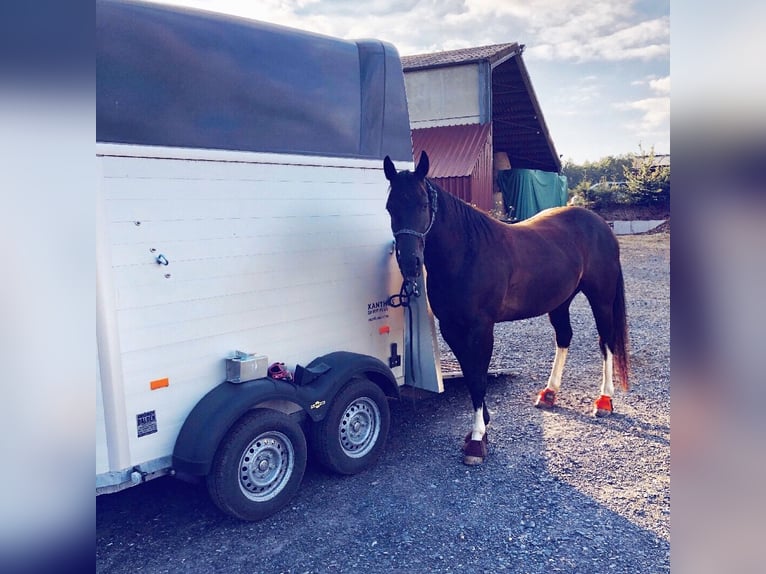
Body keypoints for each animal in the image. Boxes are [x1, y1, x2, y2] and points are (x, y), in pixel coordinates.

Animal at [383, 151, 629, 465]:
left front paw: (477, 440)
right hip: (560, 301)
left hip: (601, 297)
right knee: (564, 337)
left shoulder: (481, 328)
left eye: (423, 204)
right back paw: (549, 393)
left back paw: (605, 400)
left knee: (605, 341)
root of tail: (599, 224)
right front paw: (482, 427)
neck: (467, 253)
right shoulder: (451, 328)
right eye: (390, 207)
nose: (410, 263)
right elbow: (470, 374)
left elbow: (478, 378)